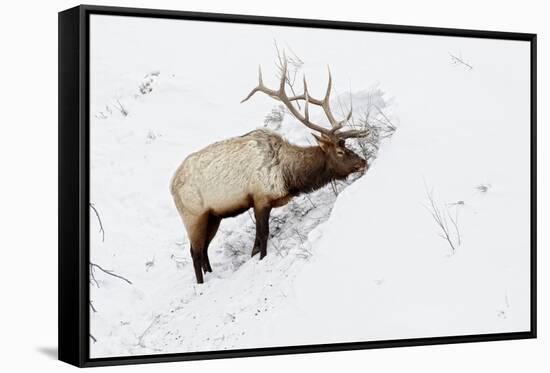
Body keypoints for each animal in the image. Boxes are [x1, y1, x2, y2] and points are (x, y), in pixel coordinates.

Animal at [172, 57, 370, 282]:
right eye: (339, 151)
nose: (363, 161)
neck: (288, 176)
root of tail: (171, 185)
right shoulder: (260, 199)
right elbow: (263, 237)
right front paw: (261, 260)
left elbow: (257, 243)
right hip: (193, 216)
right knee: (195, 252)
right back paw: (201, 284)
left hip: (214, 217)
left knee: (204, 250)